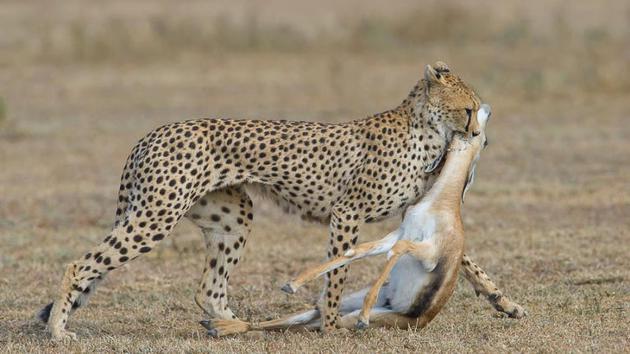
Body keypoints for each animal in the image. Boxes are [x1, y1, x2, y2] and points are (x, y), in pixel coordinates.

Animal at [37, 61, 524, 340]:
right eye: (466, 108)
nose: (478, 131)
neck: (427, 130)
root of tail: (151, 134)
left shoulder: (415, 215)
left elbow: (465, 259)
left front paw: (504, 302)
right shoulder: (348, 212)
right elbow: (337, 273)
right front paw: (331, 326)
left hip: (232, 216)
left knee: (208, 289)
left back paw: (230, 325)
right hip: (157, 215)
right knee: (80, 264)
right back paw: (59, 332)